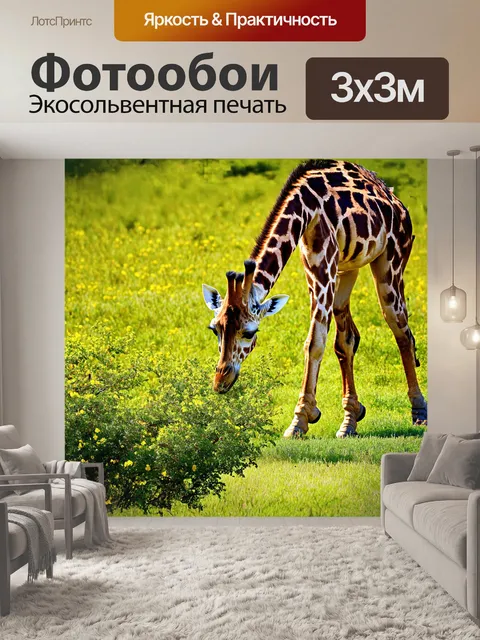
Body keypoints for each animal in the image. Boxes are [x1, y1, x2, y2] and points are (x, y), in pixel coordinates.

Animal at [202, 160, 428, 438]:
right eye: (215, 329)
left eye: (249, 332)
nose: (220, 382)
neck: (306, 209)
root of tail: (396, 201)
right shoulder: (314, 269)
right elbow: (328, 340)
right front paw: (316, 414)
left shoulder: (323, 269)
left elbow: (314, 342)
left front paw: (299, 420)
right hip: (346, 270)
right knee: (347, 339)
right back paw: (350, 420)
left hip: (391, 264)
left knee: (401, 330)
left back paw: (419, 411)